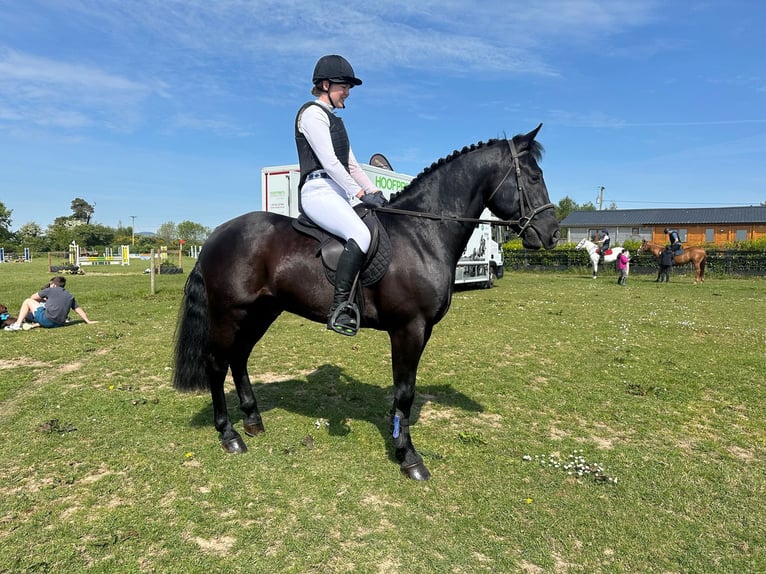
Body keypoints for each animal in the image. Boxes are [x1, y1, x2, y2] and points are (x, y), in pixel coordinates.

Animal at [173, 125, 560, 481]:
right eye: (534, 175)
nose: (552, 233)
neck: (421, 235)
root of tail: (217, 235)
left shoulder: (421, 331)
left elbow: (403, 393)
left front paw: (400, 442)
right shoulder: (408, 329)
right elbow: (405, 392)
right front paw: (409, 458)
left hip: (262, 311)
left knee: (239, 357)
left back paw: (253, 420)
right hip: (230, 313)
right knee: (217, 363)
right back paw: (229, 434)